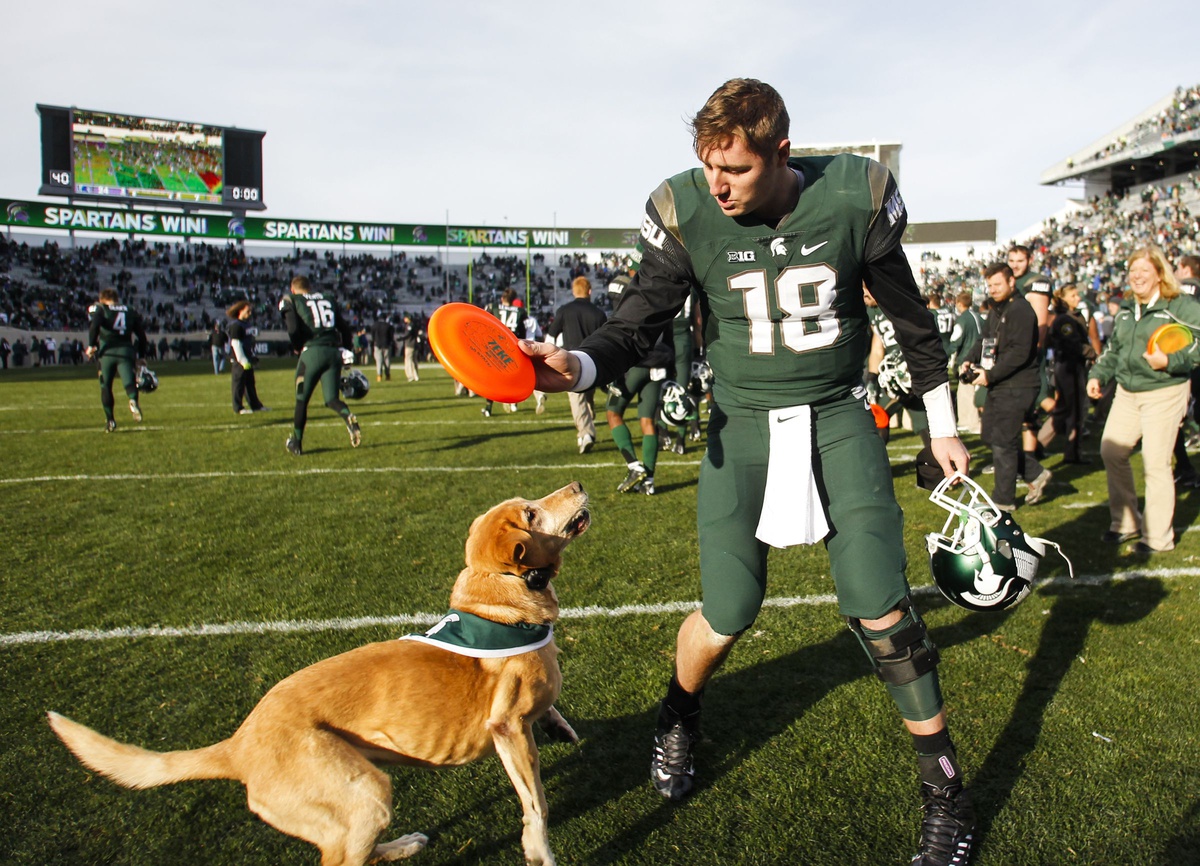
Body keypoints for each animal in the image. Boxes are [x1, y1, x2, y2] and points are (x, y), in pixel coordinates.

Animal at [48, 479, 590, 863]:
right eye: (531, 513)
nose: (579, 483)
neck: (502, 599)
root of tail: (238, 744)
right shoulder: (507, 729)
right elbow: (536, 803)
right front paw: (539, 850)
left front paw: (559, 726)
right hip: (366, 793)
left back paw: (403, 845)